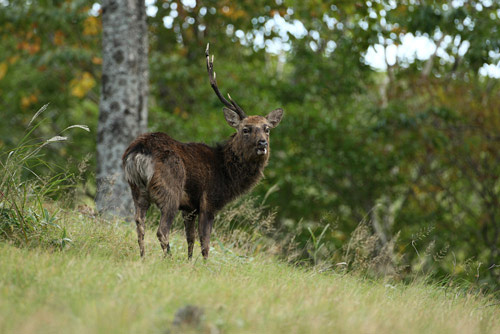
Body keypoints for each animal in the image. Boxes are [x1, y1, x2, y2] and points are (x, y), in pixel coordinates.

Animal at [122, 43, 284, 258]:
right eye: (246, 129)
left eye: (267, 128)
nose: (262, 144)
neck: (227, 174)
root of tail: (138, 151)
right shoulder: (209, 201)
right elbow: (205, 243)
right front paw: (203, 264)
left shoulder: (189, 208)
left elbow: (190, 239)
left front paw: (190, 262)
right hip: (170, 189)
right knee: (161, 230)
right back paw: (168, 259)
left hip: (136, 189)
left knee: (139, 224)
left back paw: (143, 257)